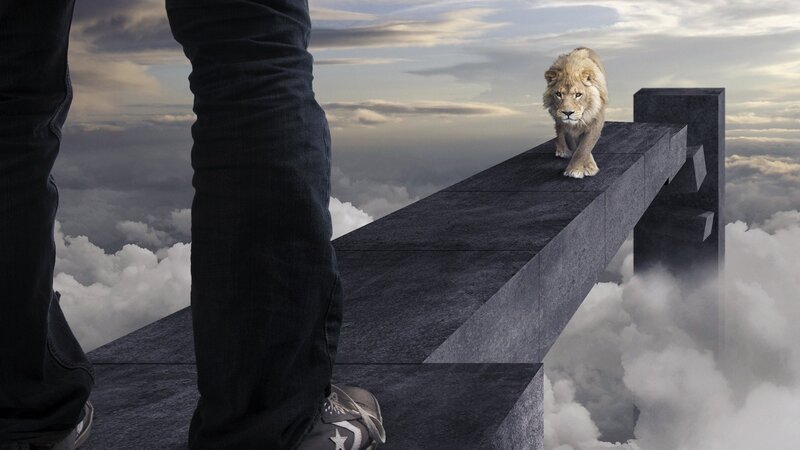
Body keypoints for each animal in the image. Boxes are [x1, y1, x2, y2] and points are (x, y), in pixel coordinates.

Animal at [543, 47, 608, 178]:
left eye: (578, 94)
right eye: (558, 94)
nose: (567, 113)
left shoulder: (596, 123)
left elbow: (584, 148)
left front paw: (580, 169)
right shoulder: (567, 127)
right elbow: (576, 147)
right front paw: (581, 168)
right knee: (558, 129)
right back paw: (562, 150)